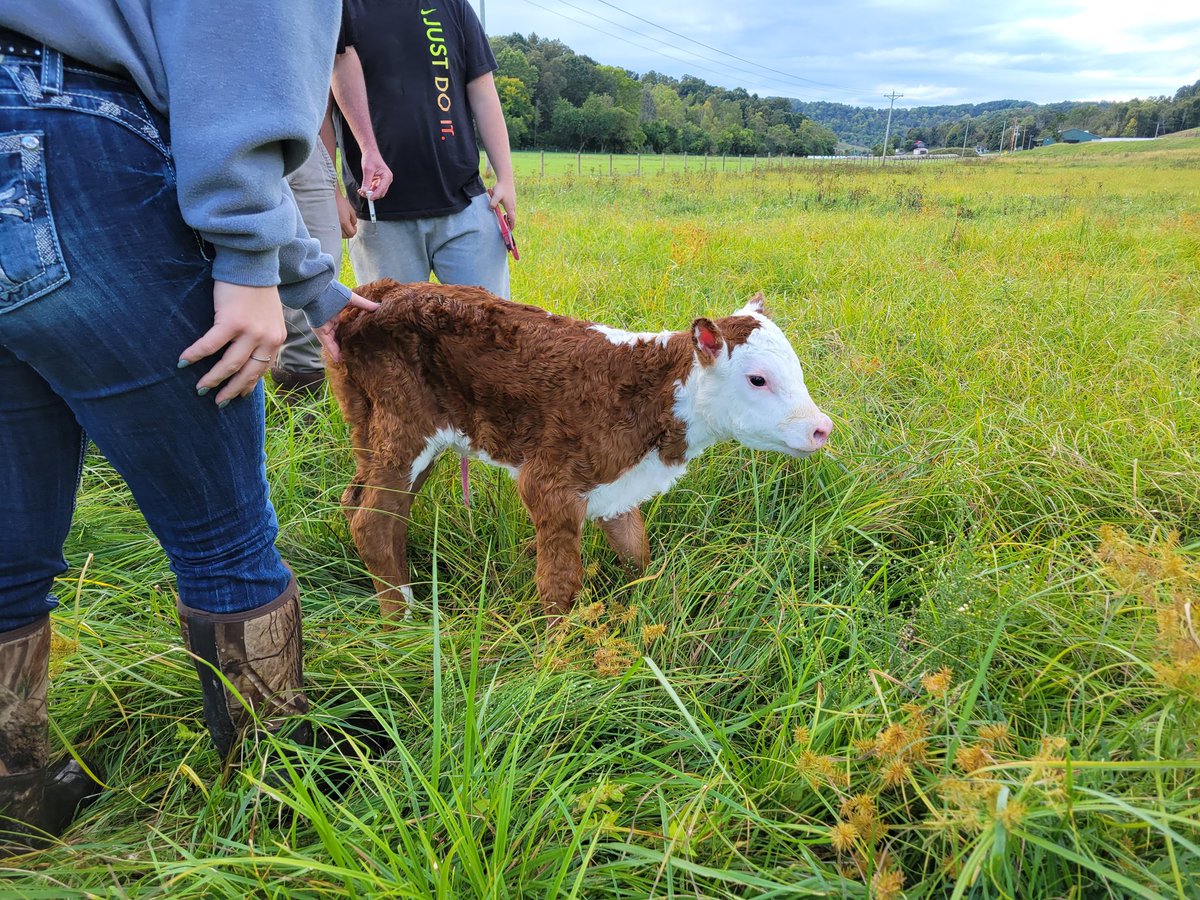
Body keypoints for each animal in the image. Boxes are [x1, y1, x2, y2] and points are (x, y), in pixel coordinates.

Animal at [327, 280, 832, 626]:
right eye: (758, 379)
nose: (821, 428)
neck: (652, 393)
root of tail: (378, 292)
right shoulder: (550, 482)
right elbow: (560, 582)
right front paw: (558, 655)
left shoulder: (617, 482)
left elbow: (635, 548)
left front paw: (645, 601)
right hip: (404, 425)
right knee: (373, 523)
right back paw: (404, 622)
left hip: (371, 429)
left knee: (366, 505)